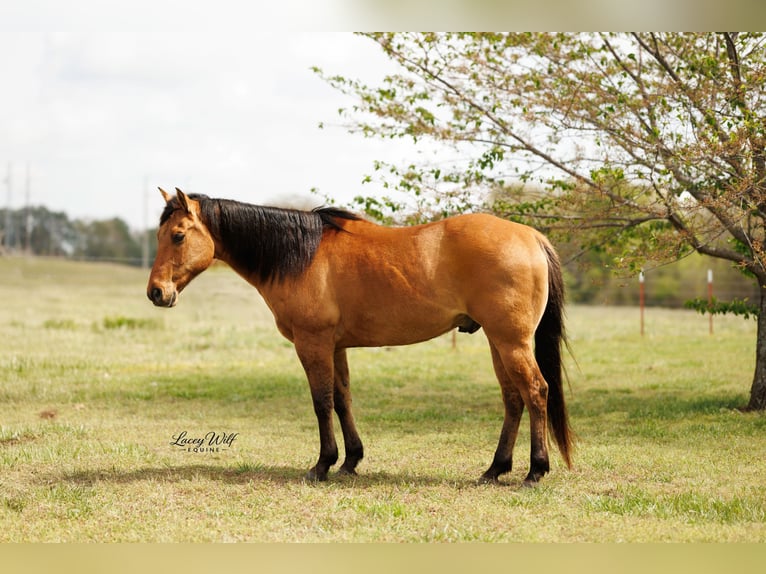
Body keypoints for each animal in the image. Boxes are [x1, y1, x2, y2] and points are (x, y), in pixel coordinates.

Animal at [147, 188, 573, 486]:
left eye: (179, 235)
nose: (156, 292)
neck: (301, 255)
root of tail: (532, 237)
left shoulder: (313, 343)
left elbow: (321, 402)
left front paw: (322, 464)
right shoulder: (335, 347)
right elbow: (342, 400)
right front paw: (351, 460)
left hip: (512, 342)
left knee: (536, 391)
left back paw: (535, 471)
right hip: (498, 343)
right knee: (514, 399)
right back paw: (494, 469)